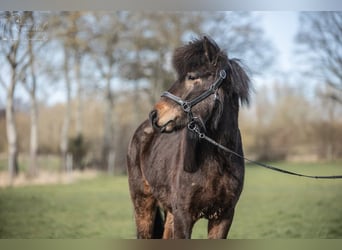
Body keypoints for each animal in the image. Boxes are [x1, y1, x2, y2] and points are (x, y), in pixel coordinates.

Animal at [127, 35, 250, 238]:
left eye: (192, 77)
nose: (154, 115)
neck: (217, 161)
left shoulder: (223, 217)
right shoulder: (183, 217)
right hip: (143, 204)